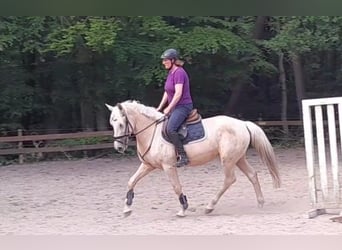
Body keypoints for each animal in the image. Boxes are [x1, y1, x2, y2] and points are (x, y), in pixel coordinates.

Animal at [105, 99, 282, 217]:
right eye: (112, 124)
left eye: (121, 124)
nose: (118, 148)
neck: (151, 132)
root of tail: (242, 124)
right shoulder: (148, 165)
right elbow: (131, 181)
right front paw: (127, 208)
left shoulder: (168, 166)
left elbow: (176, 187)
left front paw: (183, 209)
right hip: (238, 158)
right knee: (252, 174)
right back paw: (260, 203)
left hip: (228, 159)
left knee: (229, 179)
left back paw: (210, 206)